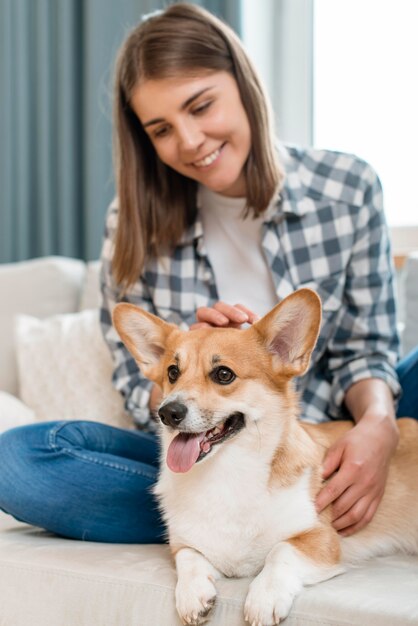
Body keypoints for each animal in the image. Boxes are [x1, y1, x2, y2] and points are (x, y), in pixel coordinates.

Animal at [113, 288, 418, 624]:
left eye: (223, 374)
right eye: (172, 372)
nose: (168, 412)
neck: (226, 474)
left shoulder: (321, 539)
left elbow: (280, 551)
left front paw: (264, 596)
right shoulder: (181, 543)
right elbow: (190, 558)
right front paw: (193, 594)